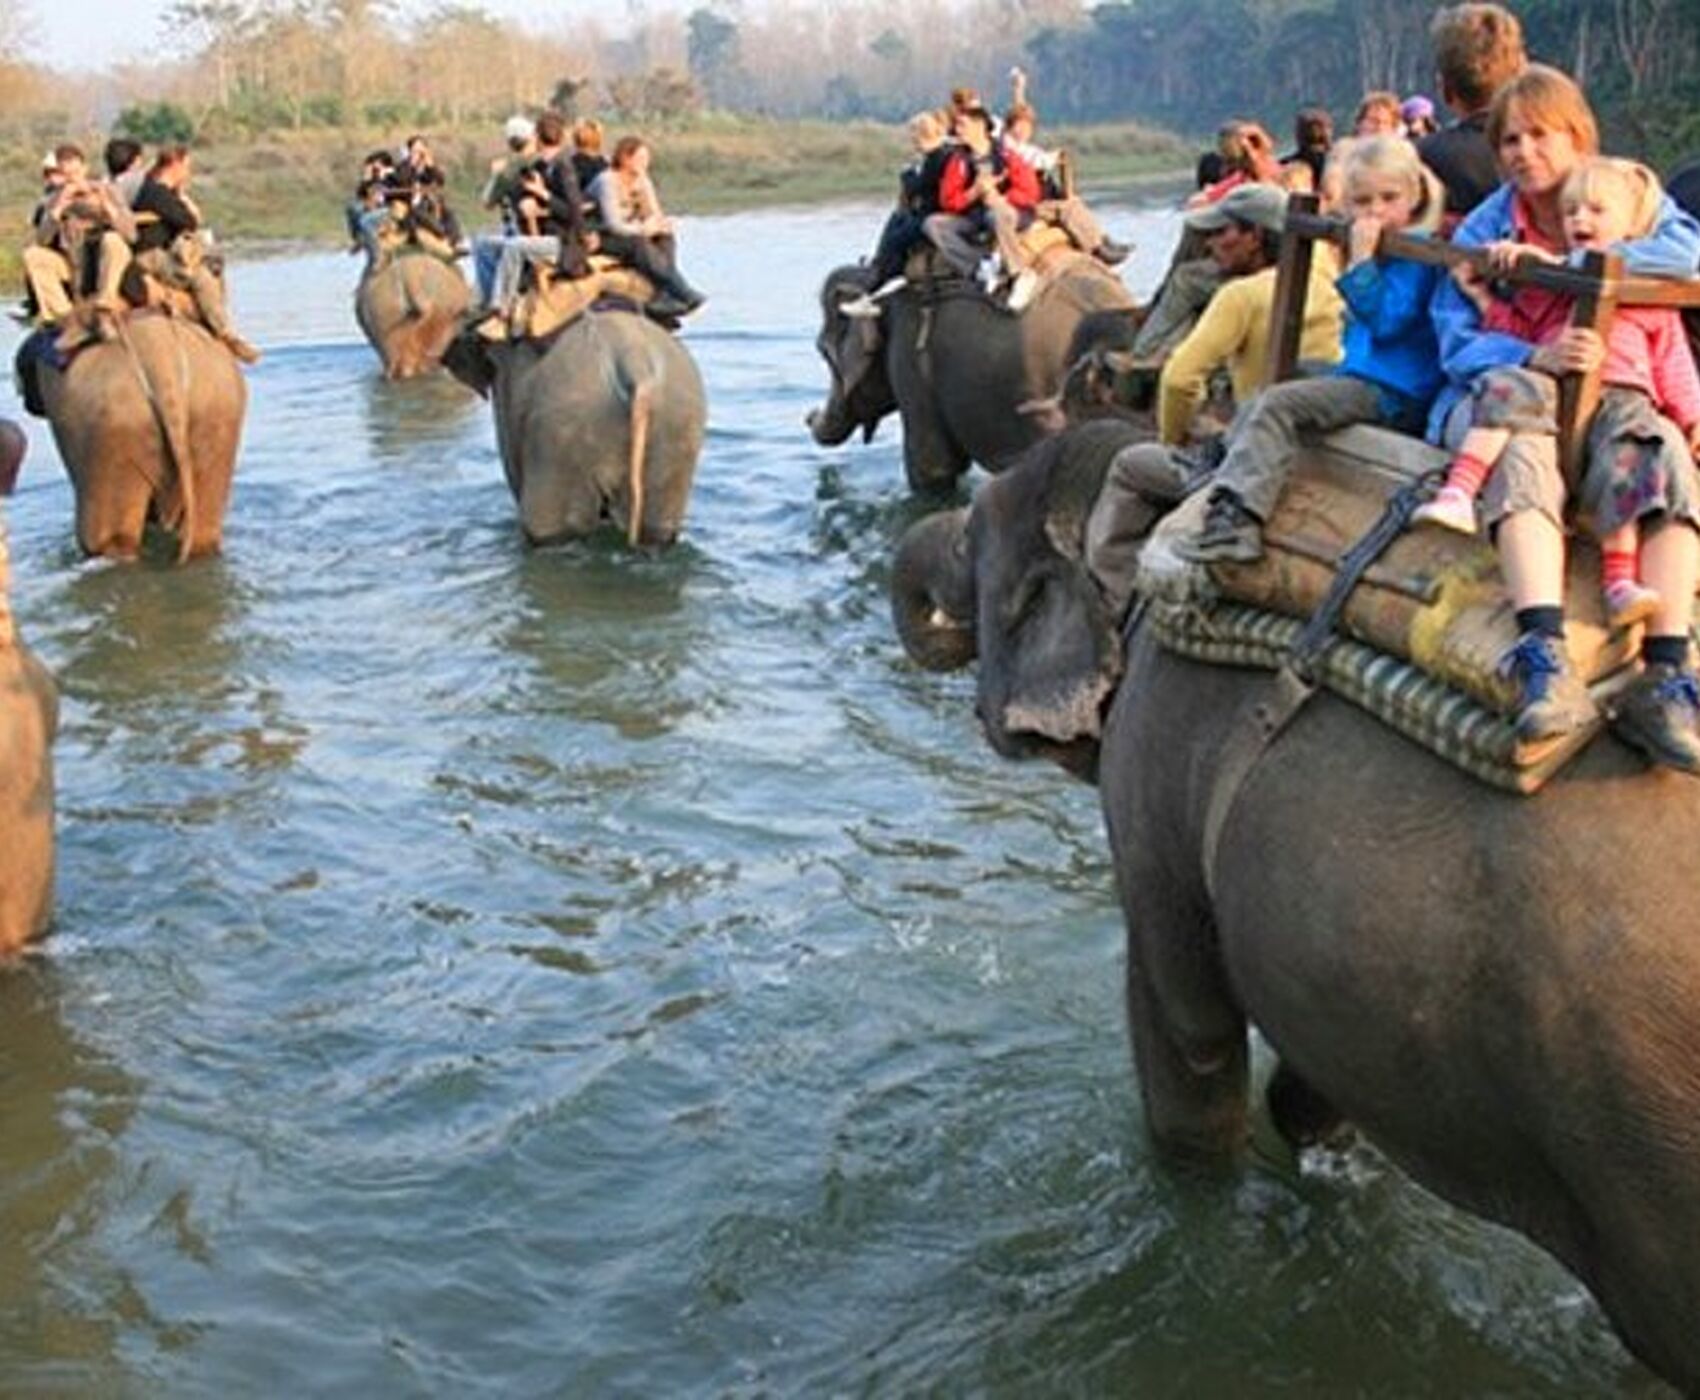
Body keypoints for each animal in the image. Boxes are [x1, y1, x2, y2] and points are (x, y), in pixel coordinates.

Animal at [14, 314, 248, 560]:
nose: (28, 404)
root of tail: (162, 359)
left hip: (112, 425)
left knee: (108, 537)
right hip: (216, 410)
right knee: (204, 530)